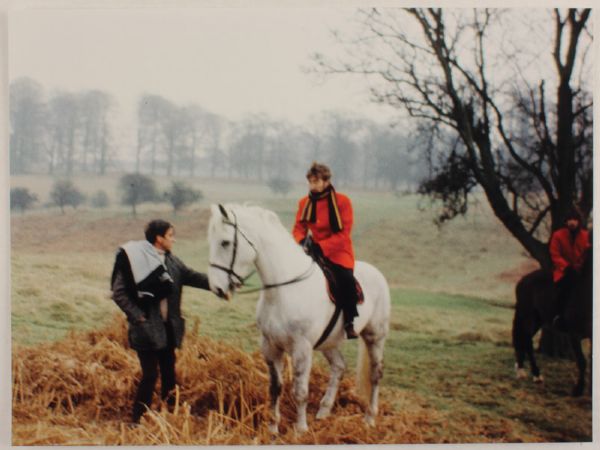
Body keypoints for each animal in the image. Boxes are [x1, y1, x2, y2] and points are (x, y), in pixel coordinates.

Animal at [209, 204, 392, 432]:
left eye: (225, 242)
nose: (217, 288)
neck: (282, 289)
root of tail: (377, 273)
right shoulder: (270, 347)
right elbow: (275, 388)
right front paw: (273, 428)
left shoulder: (301, 349)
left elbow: (300, 392)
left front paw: (301, 429)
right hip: (329, 342)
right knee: (339, 366)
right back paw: (324, 411)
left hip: (374, 337)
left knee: (376, 374)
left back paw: (369, 417)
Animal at [510, 248, 592, 396]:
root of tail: (523, 280)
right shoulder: (574, 335)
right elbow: (582, 361)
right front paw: (578, 389)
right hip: (528, 317)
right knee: (527, 341)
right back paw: (536, 375)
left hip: (538, 320)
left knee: (524, 339)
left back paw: (521, 369)